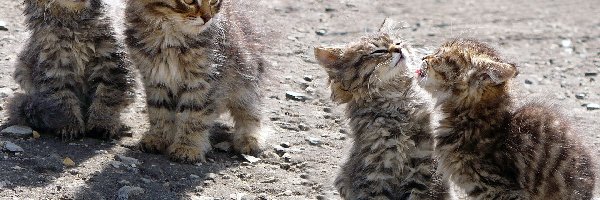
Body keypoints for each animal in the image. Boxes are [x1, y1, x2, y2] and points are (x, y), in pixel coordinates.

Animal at [7, 0, 134, 139]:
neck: (73, 25)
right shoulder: (53, 67)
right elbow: (62, 100)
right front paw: (70, 125)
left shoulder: (110, 60)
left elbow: (107, 96)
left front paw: (103, 123)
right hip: (22, 70)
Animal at [124, 0, 264, 162]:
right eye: (189, 1)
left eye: (214, 1)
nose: (208, 17)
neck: (170, 37)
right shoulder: (156, 79)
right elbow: (159, 112)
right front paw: (159, 137)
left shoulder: (204, 81)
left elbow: (194, 117)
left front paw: (188, 147)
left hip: (245, 81)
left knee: (251, 113)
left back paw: (249, 140)